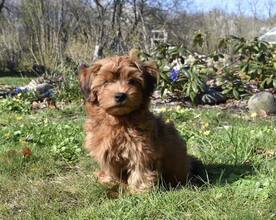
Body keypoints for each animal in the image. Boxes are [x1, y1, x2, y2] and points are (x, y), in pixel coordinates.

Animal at [78, 51, 202, 192]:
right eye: (106, 82)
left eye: (132, 81)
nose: (120, 95)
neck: (119, 121)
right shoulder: (105, 150)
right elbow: (111, 169)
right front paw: (108, 181)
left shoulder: (140, 149)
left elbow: (140, 169)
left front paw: (138, 190)